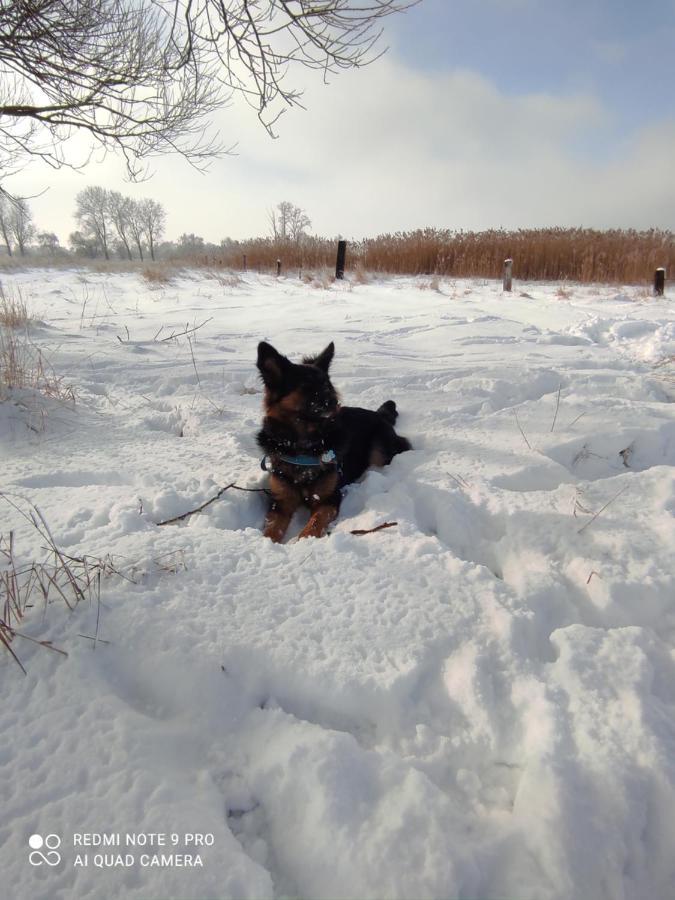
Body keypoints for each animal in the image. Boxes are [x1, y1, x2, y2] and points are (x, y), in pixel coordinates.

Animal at [255, 342, 410, 540]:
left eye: (327, 385)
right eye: (306, 386)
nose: (335, 401)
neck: (303, 446)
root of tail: (379, 414)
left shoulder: (329, 498)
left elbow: (315, 522)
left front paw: (304, 540)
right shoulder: (280, 500)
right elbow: (272, 529)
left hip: (379, 452)